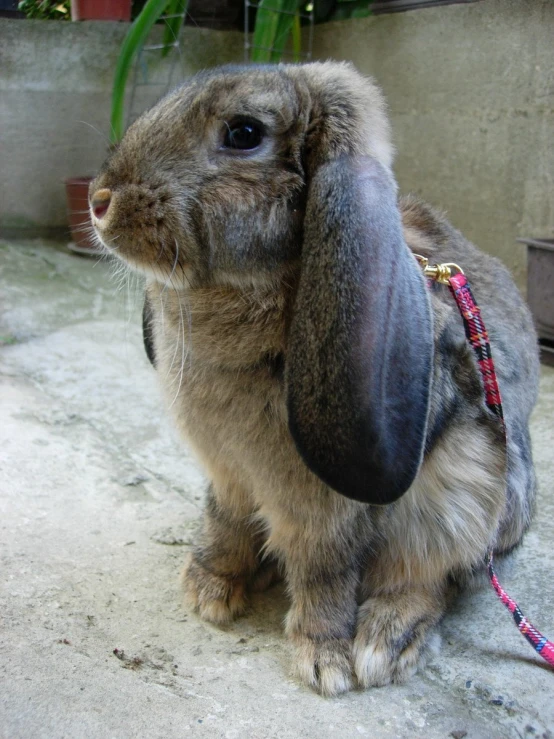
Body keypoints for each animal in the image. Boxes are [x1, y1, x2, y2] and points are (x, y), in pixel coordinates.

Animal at [88, 60, 536, 696]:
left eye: (244, 133)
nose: (99, 201)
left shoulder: (324, 509)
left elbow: (324, 569)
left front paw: (324, 661)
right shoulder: (229, 474)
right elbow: (223, 520)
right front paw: (209, 590)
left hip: (468, 485)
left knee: (431, 575)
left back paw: (384, 640)